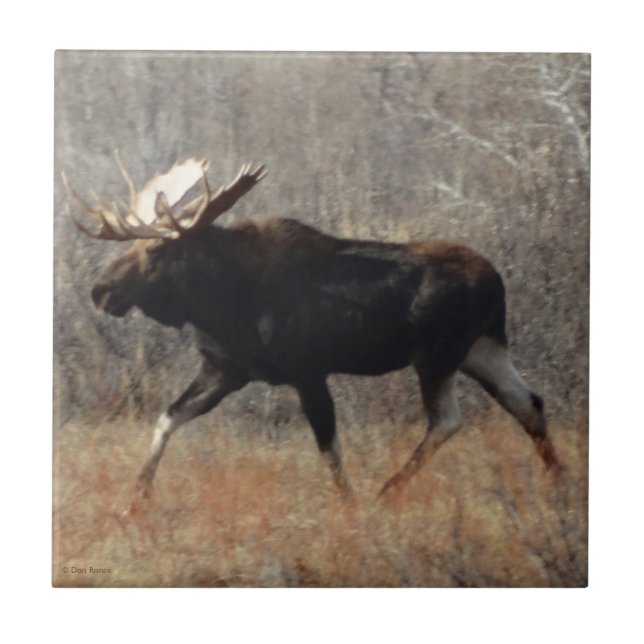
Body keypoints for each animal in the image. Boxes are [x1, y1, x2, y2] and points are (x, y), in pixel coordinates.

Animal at [63, 152, 559, 501]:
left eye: (155, 252)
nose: (100, 291)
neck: (218, 303)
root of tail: (497, 281)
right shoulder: (226, 370)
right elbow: (167, 419)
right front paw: (135, 499)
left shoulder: (306, 371)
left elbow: (330, 451)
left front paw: (351, 506)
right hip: (483, 348)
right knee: (528, 402)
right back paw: (560, 481)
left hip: (438, 354)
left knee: (448, 420)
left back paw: (387, 491)